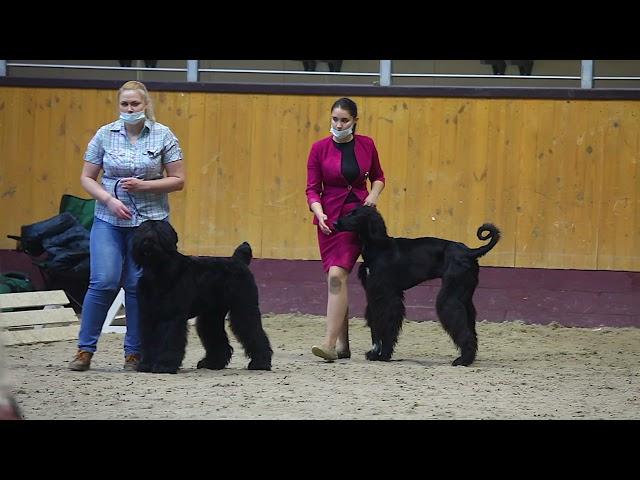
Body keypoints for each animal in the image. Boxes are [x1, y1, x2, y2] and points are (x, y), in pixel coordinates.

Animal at [132, 219, 272, 374]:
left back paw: (260, 363)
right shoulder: (148, 315)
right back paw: (212, 363)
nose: (147, 242)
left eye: (160, 233)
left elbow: (169, 340)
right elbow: (149, 341)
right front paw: (146, 364)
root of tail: (239, 261)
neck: (158, 271)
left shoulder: (172, 316)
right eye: (142, 231)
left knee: (254, 332)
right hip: (211, 315)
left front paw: (165, 365)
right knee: (216, 337)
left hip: (243, 309)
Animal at [336, 204, 500, 366]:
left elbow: (387, 324)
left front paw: (384, 355)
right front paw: (375, 354)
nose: (335, 223)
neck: (379, 247)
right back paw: (469, 358)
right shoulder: (374, 294)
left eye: (355, 214)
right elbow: (375, 324)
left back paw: (463, 360)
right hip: (464, 295)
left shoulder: (387, 295)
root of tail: (469, 252)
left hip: (450, 295)